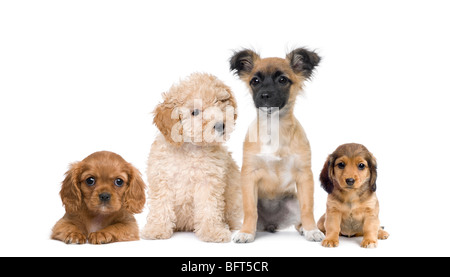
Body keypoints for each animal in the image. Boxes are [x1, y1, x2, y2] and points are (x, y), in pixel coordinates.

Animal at [142, 73, 244, 242]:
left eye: (220, 102)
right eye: (195, 112)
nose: (221, 125)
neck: (189, 149)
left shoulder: (209, 182)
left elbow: (209, 208)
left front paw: (212, 231)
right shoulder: (162, 179)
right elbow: (160, 206)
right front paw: (157, 229)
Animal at [230, 48, 326, 242]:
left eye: (282, 80)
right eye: (255, 81)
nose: (265, 95)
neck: (273, 127)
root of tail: (272, 223)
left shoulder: (304, 176)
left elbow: (308, 208)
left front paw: (311, 230)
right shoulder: (249, 176)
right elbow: (250, 210)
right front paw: (246, 232)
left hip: (294, 202)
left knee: (300, 217)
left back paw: (303, 228)